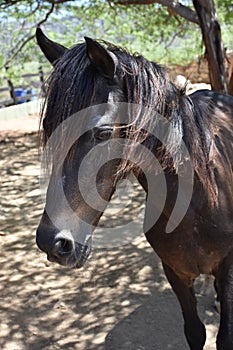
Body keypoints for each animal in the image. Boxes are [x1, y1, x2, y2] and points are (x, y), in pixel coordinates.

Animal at [35, 28, 233, 350]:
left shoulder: (228, 269)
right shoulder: (174, 270)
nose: (51, 242)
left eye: (103, 133)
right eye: (51, 130)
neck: (198, 201)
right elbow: (195, 332)